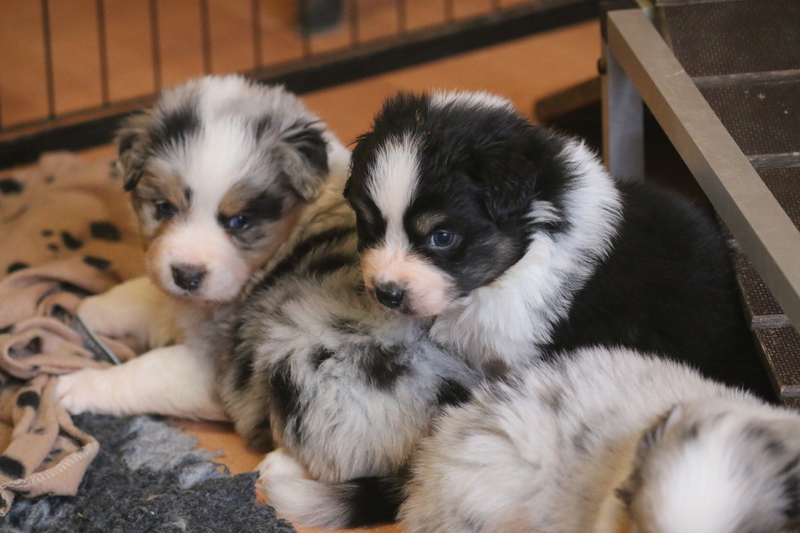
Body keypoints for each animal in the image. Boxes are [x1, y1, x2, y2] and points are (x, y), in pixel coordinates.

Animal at [56, 75, 351, 420]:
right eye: (165, 207)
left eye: (239, 220)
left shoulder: (219, 367)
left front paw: (77, 386)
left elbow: (147, 371)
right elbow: (147, 295)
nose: (187, 275)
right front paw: (92, 308)